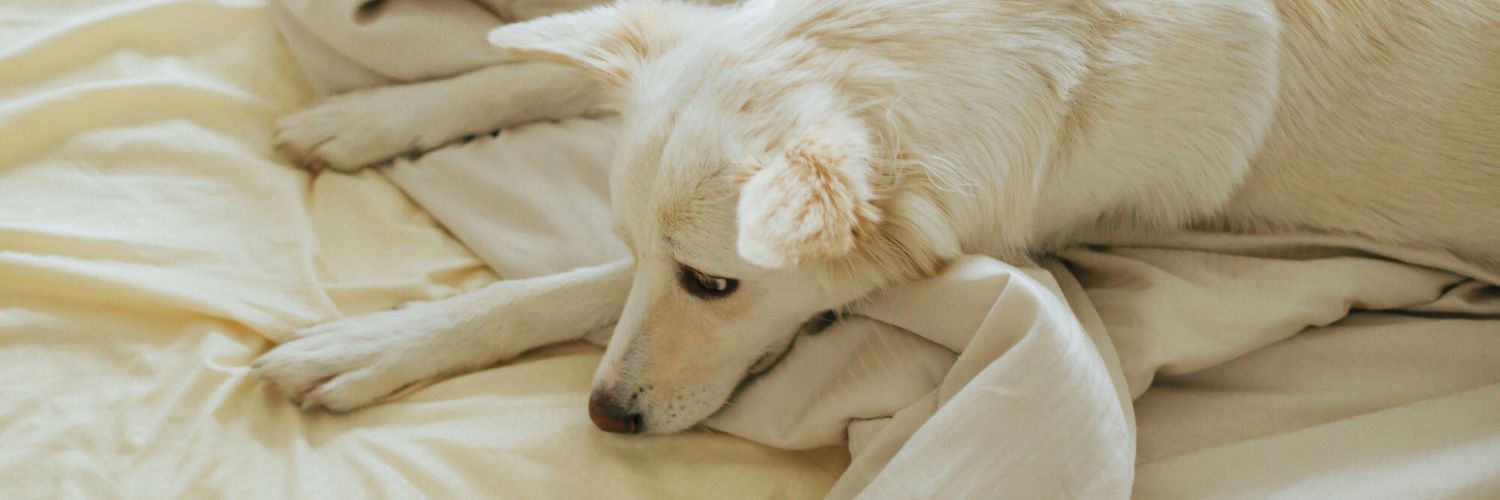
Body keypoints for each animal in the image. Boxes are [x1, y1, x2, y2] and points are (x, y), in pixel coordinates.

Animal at [256, 0, 1500, 435]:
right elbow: (522, 70)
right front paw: (379, 112)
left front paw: (377, 341)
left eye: (713, 284)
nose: (605, 415)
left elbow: (561, 290)